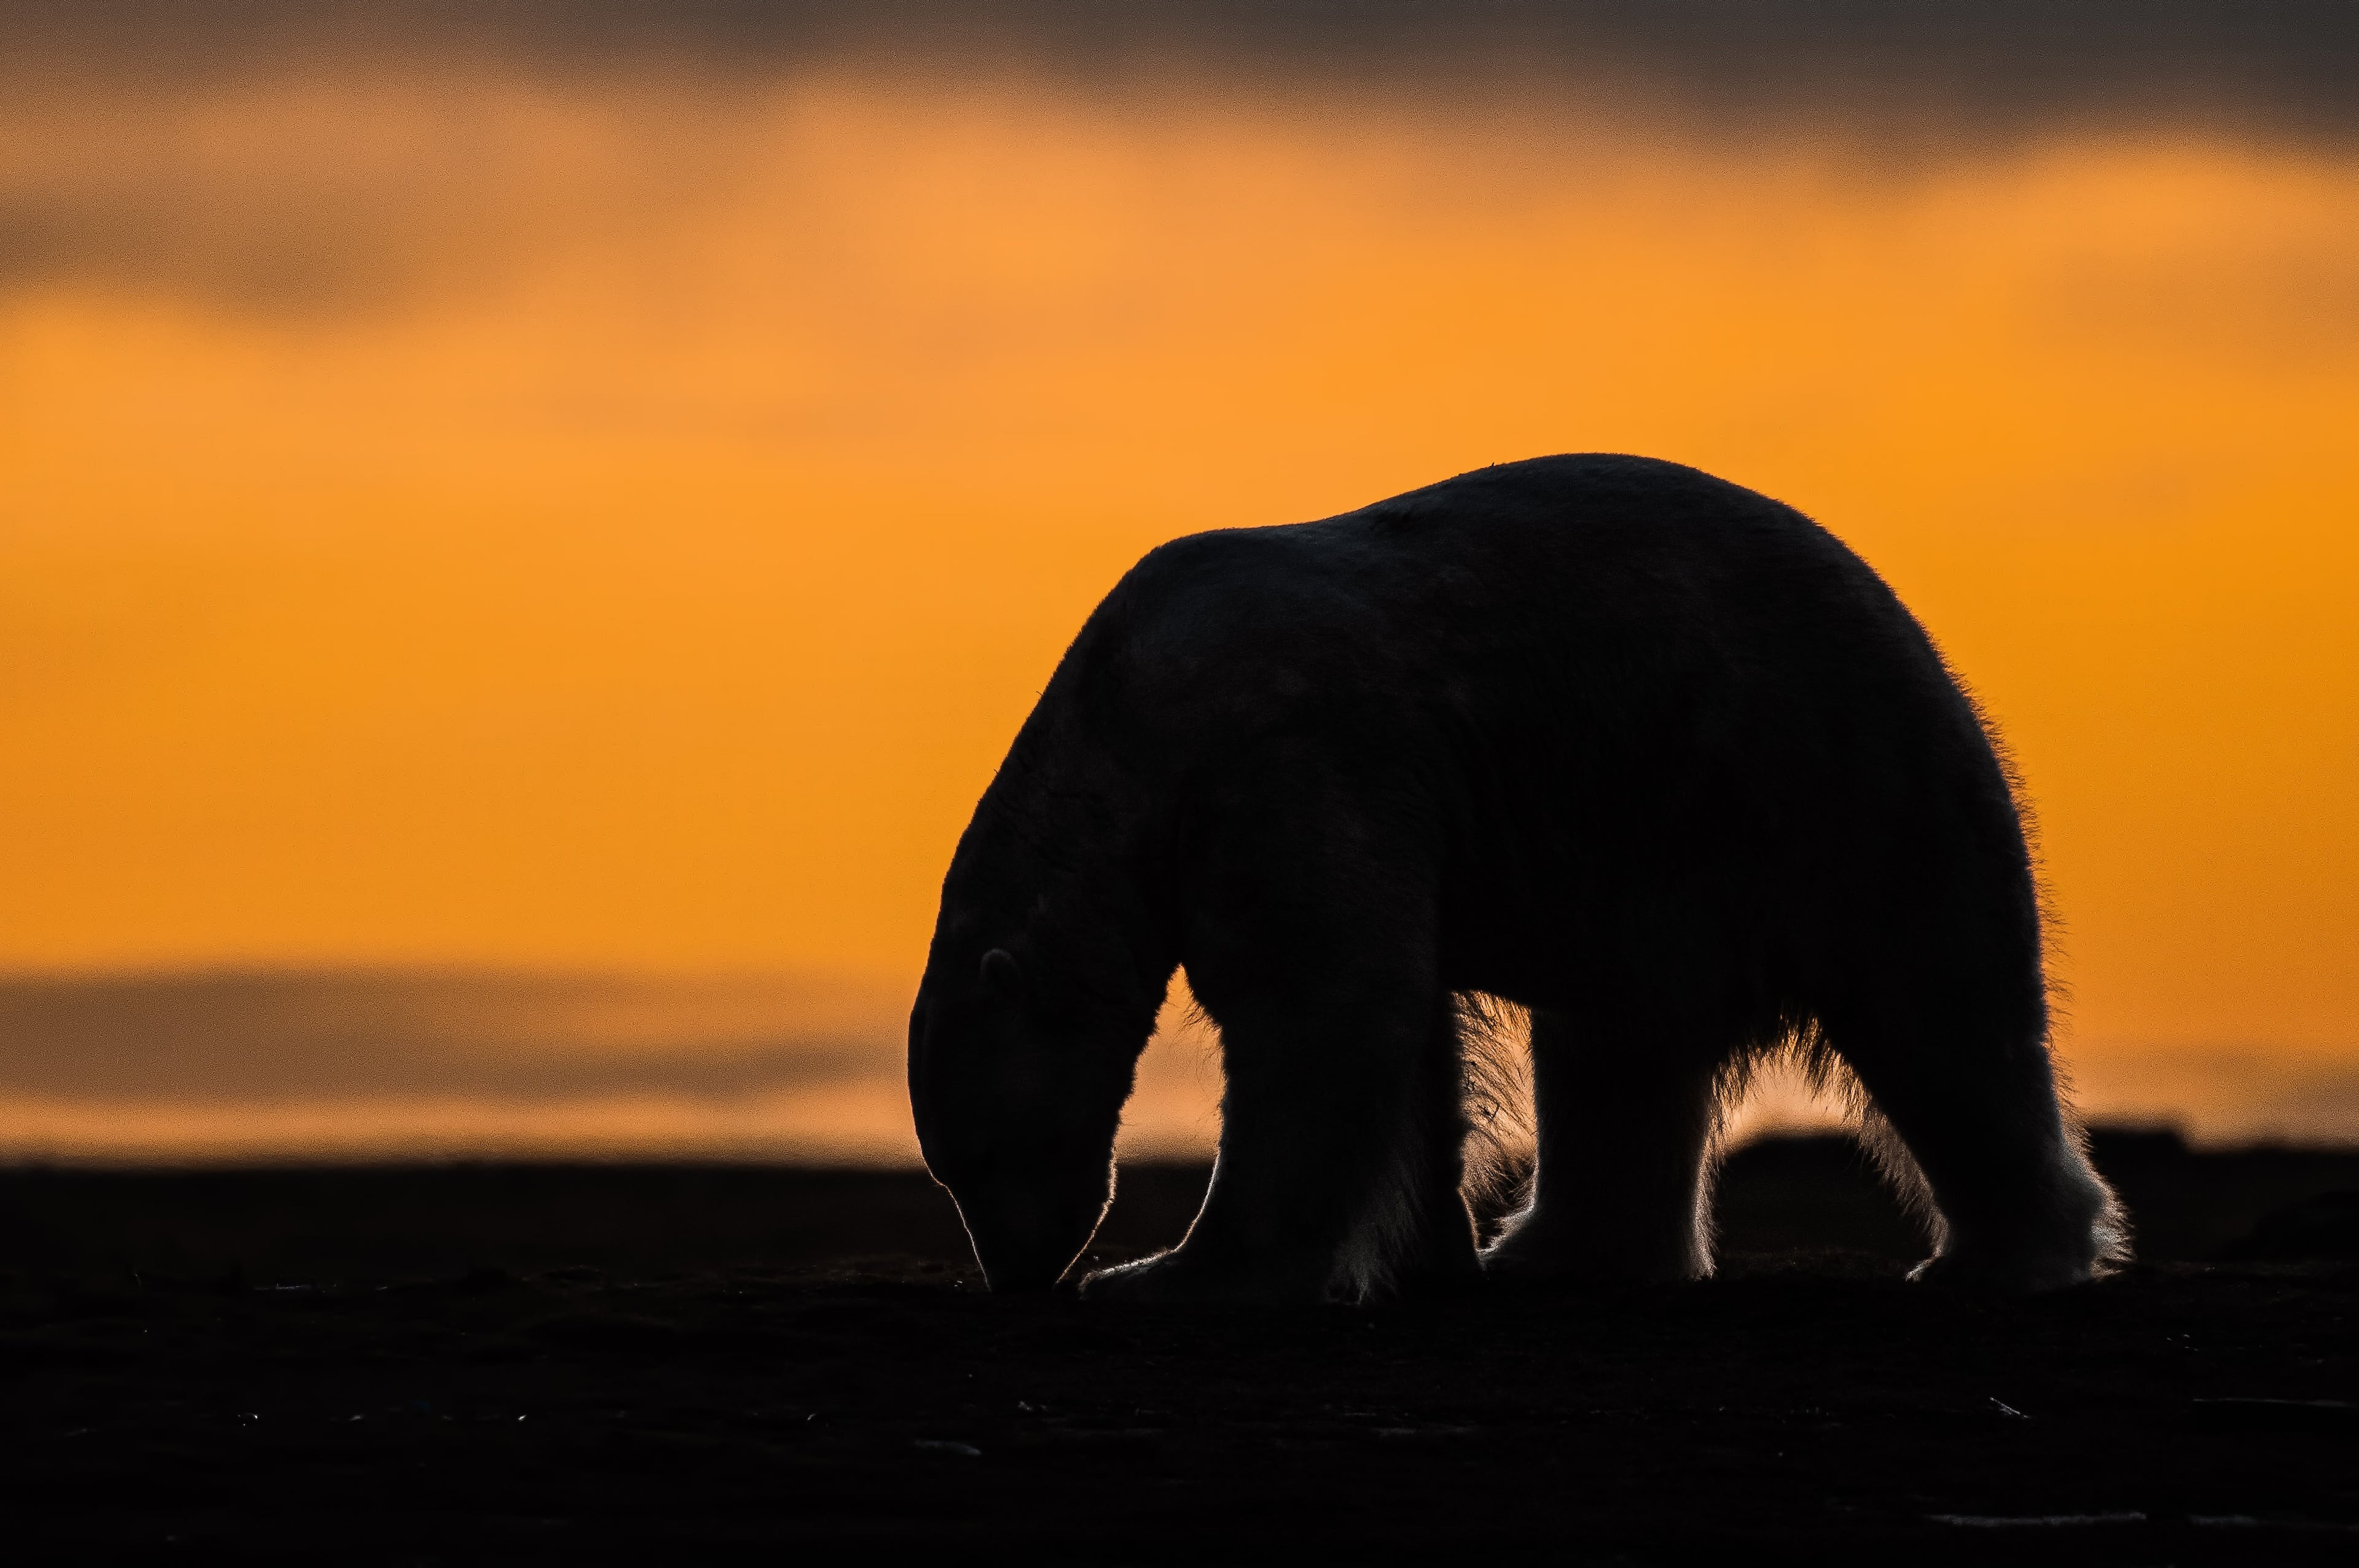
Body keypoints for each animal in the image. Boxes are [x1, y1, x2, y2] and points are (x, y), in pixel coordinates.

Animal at [907, 454, 2127, 1302]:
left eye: (978, 1155)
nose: (1020, 1270)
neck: (1131, 725)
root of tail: (1917, 635)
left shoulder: (1284, 757)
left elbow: (1319, 1006)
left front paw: (1169, 1270)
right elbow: (1407, 1037)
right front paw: (1426, 1251)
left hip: (1830, 786)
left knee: (1938, 1011)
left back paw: (2000, 1257)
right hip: (1656, 854)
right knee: (1619, 1054)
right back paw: (1558, 1250)